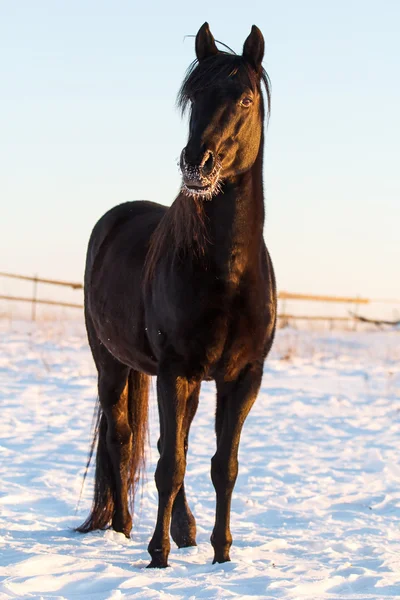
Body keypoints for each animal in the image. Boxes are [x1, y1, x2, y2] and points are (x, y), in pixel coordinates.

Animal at [78, 23, 278, 568]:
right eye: (192, 96)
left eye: (246, 99)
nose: (197, 163)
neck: (226, 273)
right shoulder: (175, 370)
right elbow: (170, 463)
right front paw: (157, 556)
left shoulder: (242, 377)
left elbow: (222, 465)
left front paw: (222, 555)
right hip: (111, 363)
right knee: (123, 439)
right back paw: (124, 526)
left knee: (174, 442)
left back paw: (185, 530)